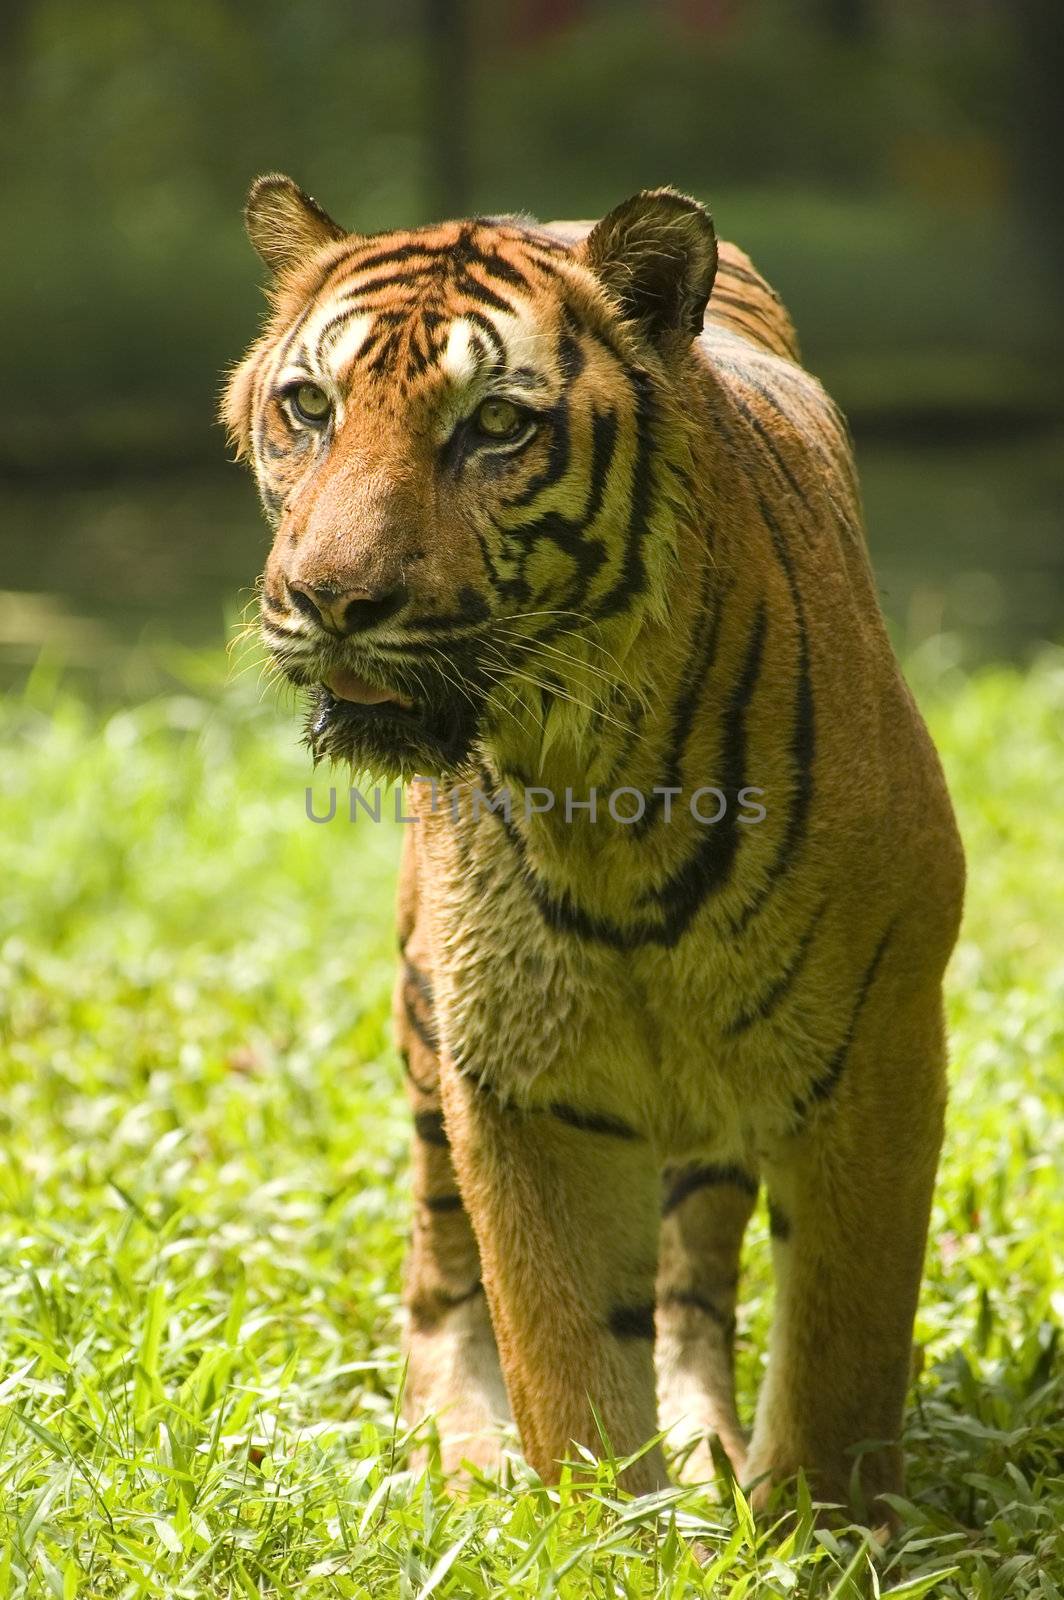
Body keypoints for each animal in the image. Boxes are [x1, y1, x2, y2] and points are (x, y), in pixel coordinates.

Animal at [224, 175, 960, 1523]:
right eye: (309, 407)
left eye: (494, 425)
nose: (328, 600)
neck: (596, 790)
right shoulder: (518, 1080)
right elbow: (564, 1353)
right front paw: (601, 1532)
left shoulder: (874, 1053)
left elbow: (838, 1354)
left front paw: (822, 1531)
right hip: (427, 1014)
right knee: (438, 1265)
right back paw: (461, 1449)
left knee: (691, 1282)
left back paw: (710, 1442)